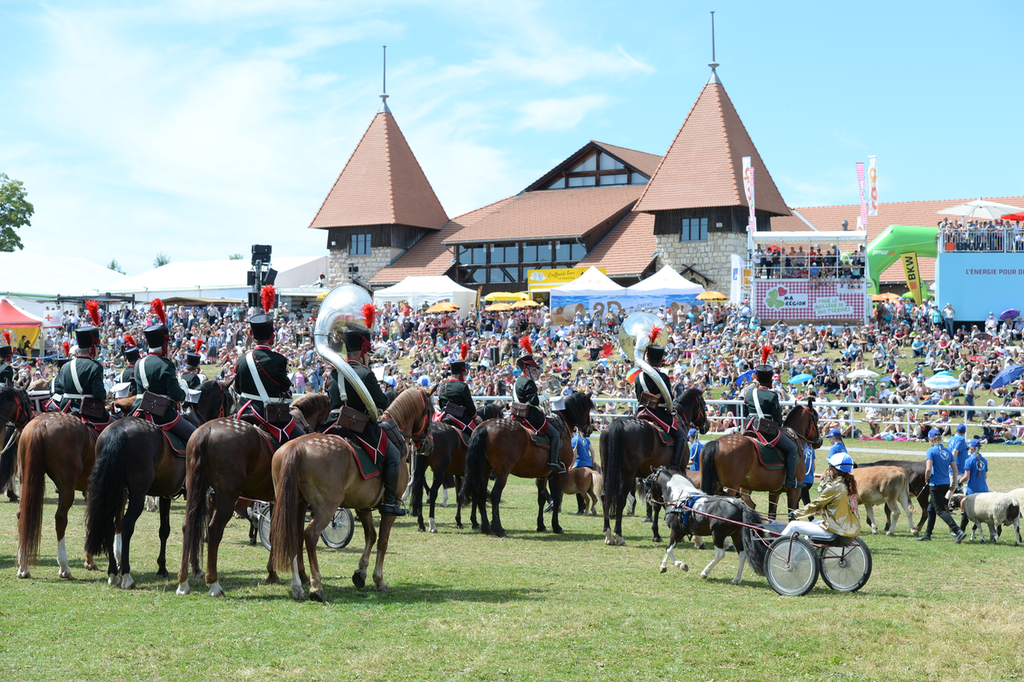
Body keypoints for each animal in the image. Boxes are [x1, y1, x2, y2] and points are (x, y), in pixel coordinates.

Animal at [174, 391, 329, 593]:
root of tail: (206, 431)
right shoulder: (298, 501)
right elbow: (295, 533)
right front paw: (302, 576)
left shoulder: (275, 500)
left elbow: (274, 532)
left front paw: (272, 573)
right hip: (227, 497)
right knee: (214, 530)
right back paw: (214, 583)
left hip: (196, 491)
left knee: (189, 526)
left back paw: (183, 582)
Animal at [268, 385, 432, 598]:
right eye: (431, 410)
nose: (429, 444)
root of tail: (297, 448)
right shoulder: (390, 507)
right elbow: (383, 541)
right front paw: (378, 579)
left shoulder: (363, 507)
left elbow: (371, 535)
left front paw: (360, 573)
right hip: (326, 508)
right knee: (310, 535)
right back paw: (316, 586)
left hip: (292, 505)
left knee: (291, 536)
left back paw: (297, 586)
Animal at [407, 403, 503, 532]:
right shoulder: (476, 474)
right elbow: (475, 495)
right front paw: (474, 521)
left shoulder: (459, 474)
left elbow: (459, 495)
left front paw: (459, 521)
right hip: (439, 471)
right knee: (433, 492)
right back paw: (432, 524)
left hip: (422, 468)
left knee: (419, 491)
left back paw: (421, 523)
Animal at [598, 385, 708, 544]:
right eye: (703, 405)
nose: (707, 426)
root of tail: (618, 423)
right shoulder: (679, 470)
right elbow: (661, 503)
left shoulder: (653, 476)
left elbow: (655, 502)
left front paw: (656, 533)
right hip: (627, 475)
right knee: (620, 498)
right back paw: (619, 535)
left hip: (607, 471)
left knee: (604, 496)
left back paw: (608, 534)